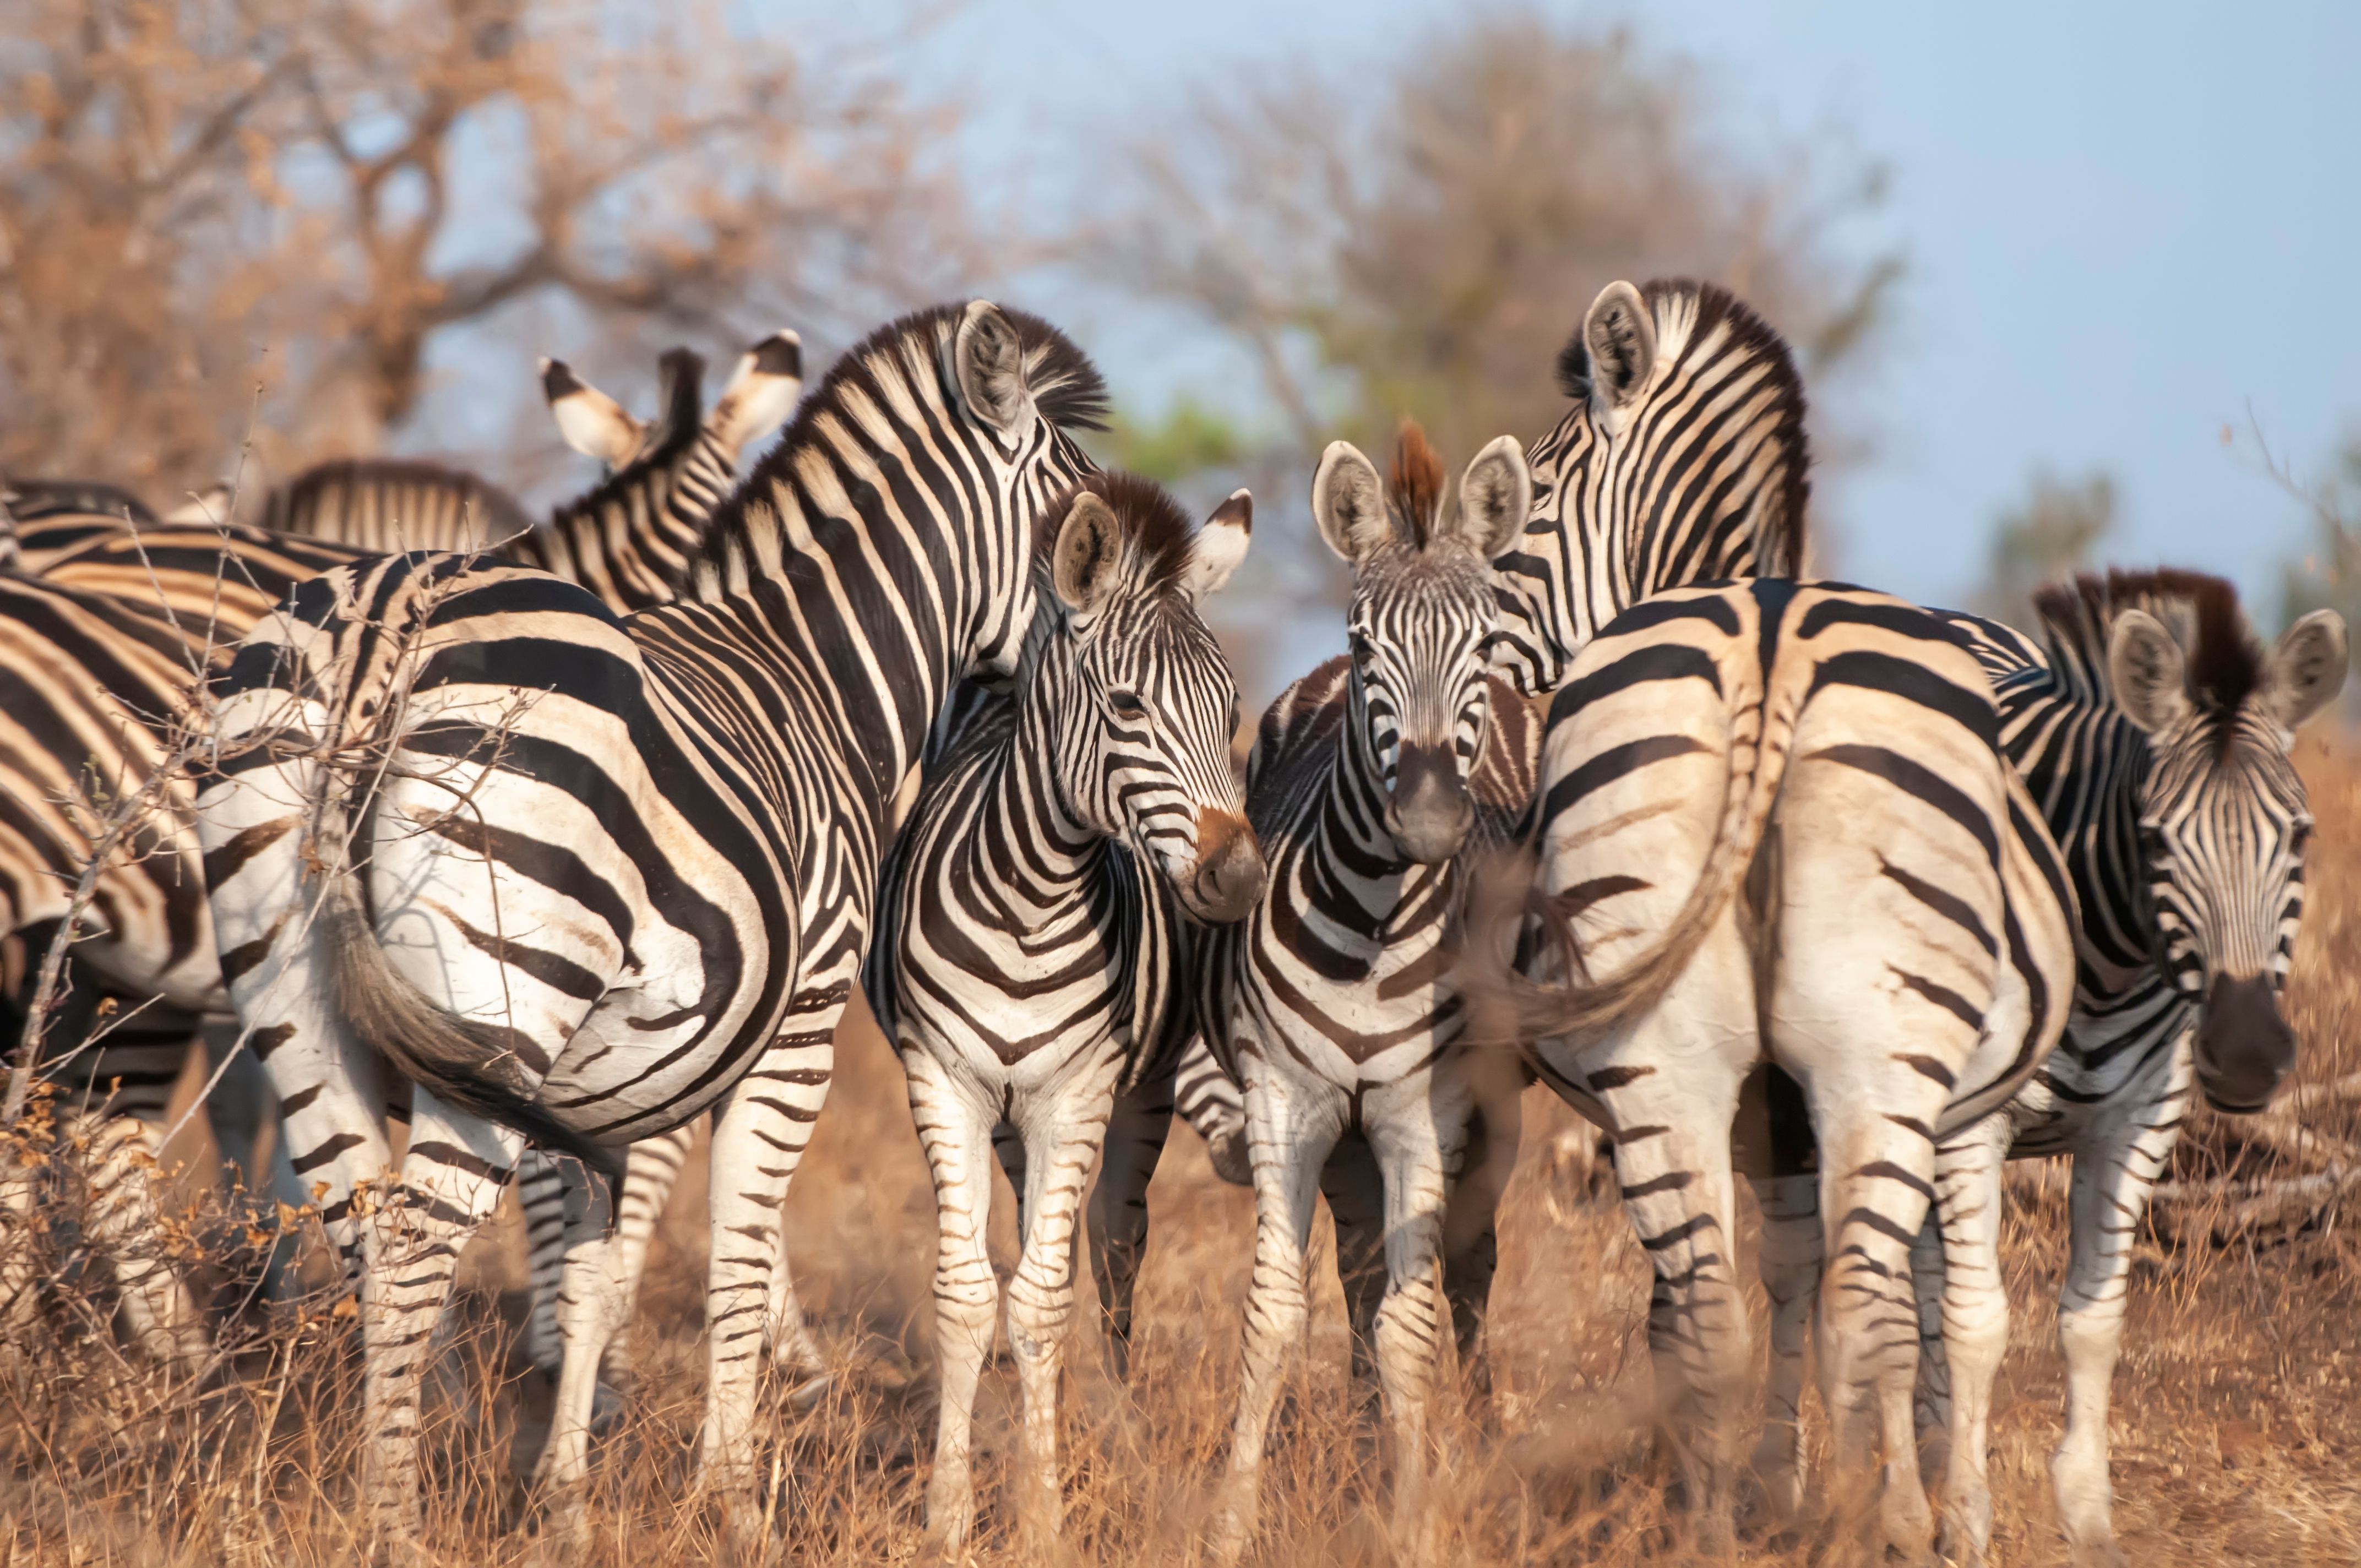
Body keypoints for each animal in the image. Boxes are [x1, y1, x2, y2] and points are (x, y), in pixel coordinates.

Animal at [193, 301, 1186, 1548]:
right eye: (1078, 535)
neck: (818, 670)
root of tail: (383, 621)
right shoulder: (795, 1023)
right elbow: (734, 1258)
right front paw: (734, 1500)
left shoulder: (606, 1079)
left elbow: (594, 1265)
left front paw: (568, 1496)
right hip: (499, 994)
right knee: (418, 1238)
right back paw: (398, 1522)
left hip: (295, 986)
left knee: (364, 1226)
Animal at [864, 473, 1261, 1551]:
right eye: (1127, 705)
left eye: (1233, 707)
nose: (1242, 879)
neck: (1026, 901)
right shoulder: (942, 1079)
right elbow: (968, 1295)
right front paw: (948, 1521)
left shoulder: (1079, 1091)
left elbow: (1042, 1303)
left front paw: (1043, 1520)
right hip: (1007, 1115)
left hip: (1136, 1096)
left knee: (1114, 1256)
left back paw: (1117, 1428)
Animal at [1191, 423, 1533, 1558]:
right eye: (1368, 640)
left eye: (1481, 643)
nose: (1426, 818)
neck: (1373, 924)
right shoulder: (1286, 1103)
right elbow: (1273, 1314)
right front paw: (1233, 1526)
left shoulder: (1422, 1113)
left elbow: (1410, 1324)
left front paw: (1413, 1517)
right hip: (1339, 1133)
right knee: (1355, 1272)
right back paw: (1354, 1446)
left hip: (1492, 1106)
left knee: (1463, 1273)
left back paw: (1467, 1445)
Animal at [1752, 570, 2346, 1565]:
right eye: (2154, 838)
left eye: (2298, 836)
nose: (2247, 1057)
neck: (2103, 958)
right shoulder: (1970, 1128)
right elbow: (1976, 1323)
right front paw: (1964, 1519)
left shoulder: (2138, 1122)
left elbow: (2090, 1321)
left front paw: (2084, 1516)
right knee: (1813, 1281)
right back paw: (1800, 1490)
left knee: (1905, 1294)